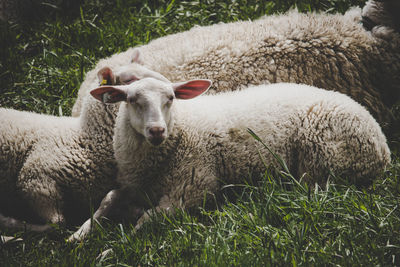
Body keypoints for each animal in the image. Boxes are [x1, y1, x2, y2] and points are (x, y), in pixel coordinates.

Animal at [0, 61, 169, 231]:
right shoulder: (35, 179)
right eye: (130, 79)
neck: (87, 139)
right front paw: (9, 222)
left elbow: (112, 199)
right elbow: (56, 223)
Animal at [69, 78, 390, 243]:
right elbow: (108, 198)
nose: (157, 130)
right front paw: (78, 235)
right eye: (133, 100)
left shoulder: (192, 191)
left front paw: (113, 248)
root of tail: (382, 144)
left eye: (171, 98)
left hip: (322, 165)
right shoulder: (135, 184)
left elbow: (144, 222)